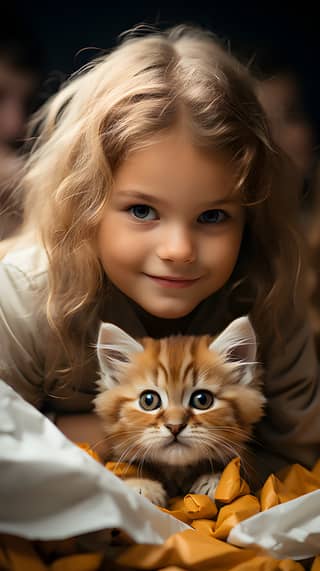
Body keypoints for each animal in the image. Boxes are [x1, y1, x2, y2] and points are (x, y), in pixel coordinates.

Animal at [94, 316, 264, 508]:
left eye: (202, 400)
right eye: (148, 400)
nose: (174, 426)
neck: (177, 472)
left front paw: (216, 481)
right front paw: (141, 486)